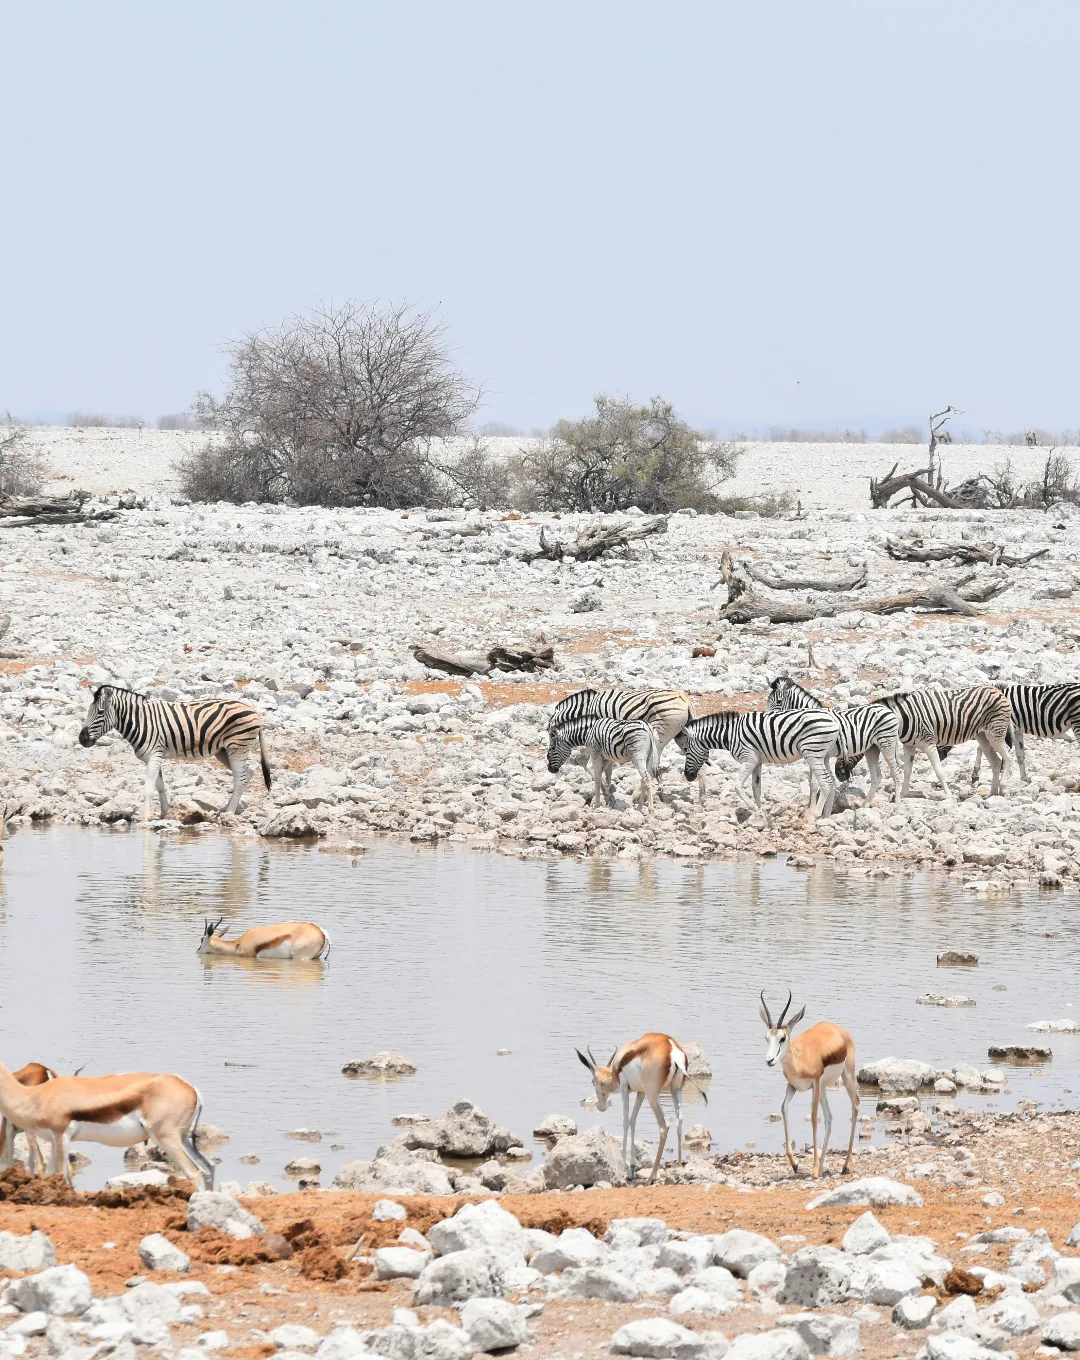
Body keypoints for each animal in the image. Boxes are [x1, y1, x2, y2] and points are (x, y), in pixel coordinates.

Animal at [78, 685, 272, 818]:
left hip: (236, 747)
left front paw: (145, 817)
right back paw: (231, 807)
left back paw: (229, 812)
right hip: (223, 750)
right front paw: (164, 813)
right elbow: (160, 786)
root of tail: (254, 710)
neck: (141, 721)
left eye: (100, 712)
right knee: (247, 773)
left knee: (241, 777)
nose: (82, 739)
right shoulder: (154, 756)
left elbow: (148, 788)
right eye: (88, 711)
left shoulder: (154, 754)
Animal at [675, 709, 846, 827]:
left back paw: (814, 815)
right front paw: (759, 814)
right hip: (824, 756)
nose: (688, 776)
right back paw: (826, 817)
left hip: (812, 752)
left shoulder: (749, 759)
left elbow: (737, 786)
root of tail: (835, 720)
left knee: (826, 782)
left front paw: (753, 808)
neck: (729, 735)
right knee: (832, 782)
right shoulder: (757, 762)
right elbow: (756, 787)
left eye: (685, 750)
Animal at [766, 676, 903, 805]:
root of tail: (887, 710)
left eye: (778, 701)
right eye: (767, 700)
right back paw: (865, 805)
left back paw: (897, 802)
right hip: (872, 748)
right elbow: (811, 783)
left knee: (895, 772)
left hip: (887, 743)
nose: (768, 718)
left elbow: (815, 783)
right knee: (877, 777)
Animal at [836, 685, 1011, 799]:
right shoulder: (909, 745)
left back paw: (1002, 788)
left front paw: (949, 796)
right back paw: (992, 794)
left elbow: (939, 771)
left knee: (1007, 758)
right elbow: (907, 771)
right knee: (996, 762)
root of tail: (997, 690)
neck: (902, 719)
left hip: (995, 733)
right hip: (982, 736)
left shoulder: (929, 743)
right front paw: (903, 794)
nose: (838, 774)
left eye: (847, 745)